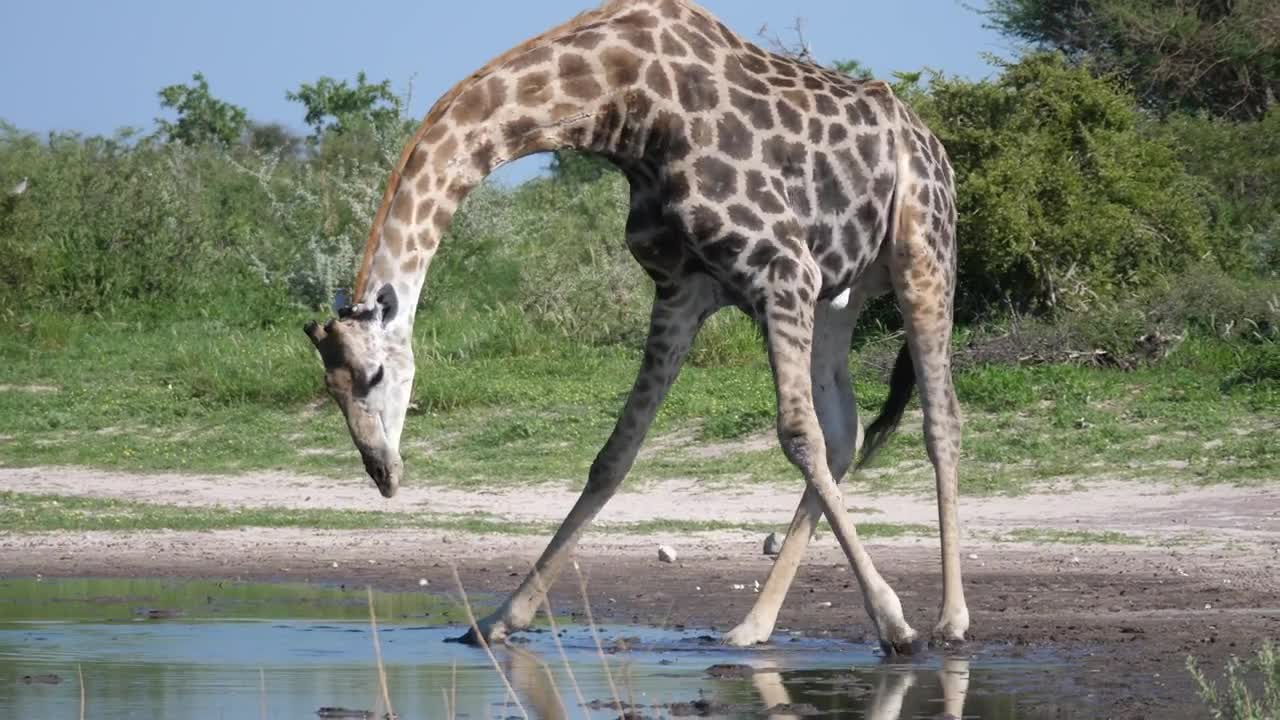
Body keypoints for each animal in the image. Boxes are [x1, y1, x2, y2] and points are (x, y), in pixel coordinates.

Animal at [304, 0, 968, 654]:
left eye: (375, 374)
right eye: (331, 389)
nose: (383, 474)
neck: (624, 105)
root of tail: (933, 145)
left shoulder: (781, 269)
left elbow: (796, 436)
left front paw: (894, 622)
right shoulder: (681, 290)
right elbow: (614, 455)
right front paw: (498, 619)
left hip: (922, 254)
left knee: (939, 421)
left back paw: (948, 619)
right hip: (839, 295)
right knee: (845, 433)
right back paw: (753, 626)